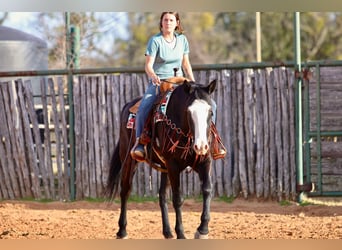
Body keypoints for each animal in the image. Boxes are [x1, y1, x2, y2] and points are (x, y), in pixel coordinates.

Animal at [106, 79, 216, 239]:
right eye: (188, 112)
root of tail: (127, 106)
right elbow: (177, 198)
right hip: (129, 159)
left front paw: (202, 230)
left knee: (162, 195)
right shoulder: (173, 165)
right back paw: (122, 231)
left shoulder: (204, 162)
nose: (201, 145)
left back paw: (167, 231)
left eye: (210, 112)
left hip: (164, 168)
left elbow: (207, 190)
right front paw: (181, 233)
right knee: (125, 190)